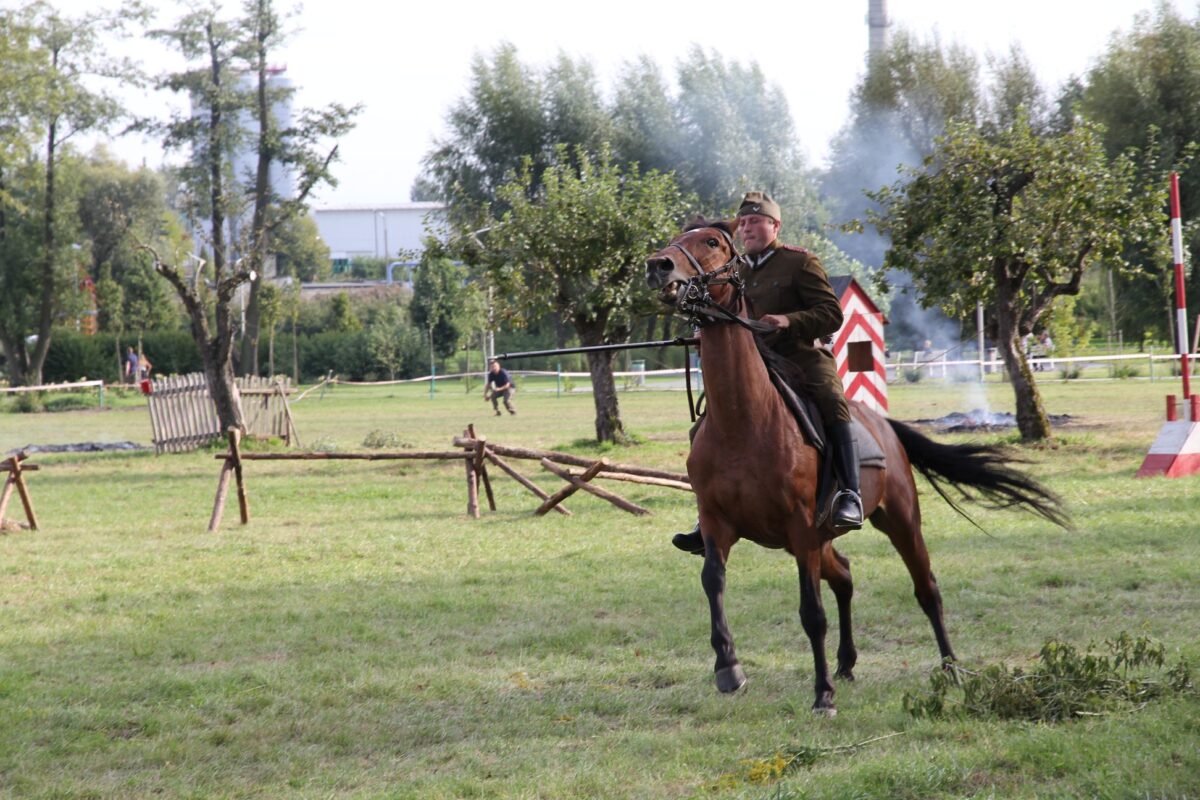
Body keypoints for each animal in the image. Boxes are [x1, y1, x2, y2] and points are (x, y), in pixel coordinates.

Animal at [648, 220, 1070, 714]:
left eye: (712, 242)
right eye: (679, 236)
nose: (658, 266)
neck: (743, 420)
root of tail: (883, 424)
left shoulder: (800, 530)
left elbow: (812, 613)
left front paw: (822, 694)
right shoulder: (719, 524)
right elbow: (712, 581)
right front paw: (729, 667)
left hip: (898, 521)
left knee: (926, 589)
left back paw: (950, 668)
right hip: (820, 539)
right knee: (845, 576)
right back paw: (847, 662)